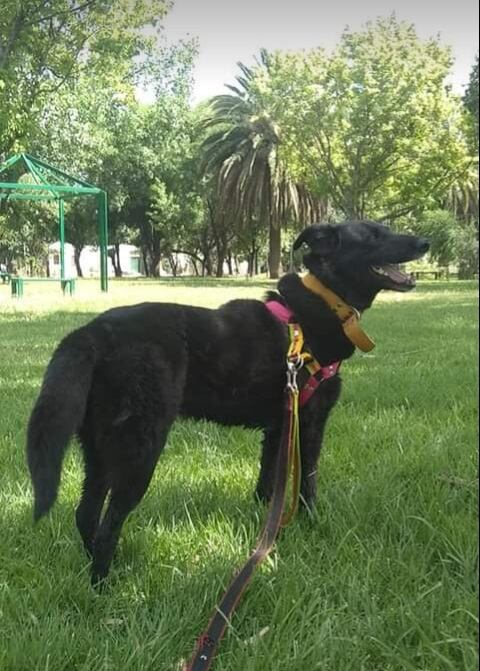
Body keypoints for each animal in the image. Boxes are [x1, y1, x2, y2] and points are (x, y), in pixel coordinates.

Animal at [28, 220, 430, 584]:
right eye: (374, 235)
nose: (425, 242)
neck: (320, 306)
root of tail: (91, 332)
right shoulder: (310, 423)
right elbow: (307, 485)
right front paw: (313, 525)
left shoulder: (277, 428)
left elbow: (268, 487)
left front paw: (266, 535)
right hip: (139, 450)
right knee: (110, 522)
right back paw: (104, 585)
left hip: (99, 449)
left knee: (86, 513)